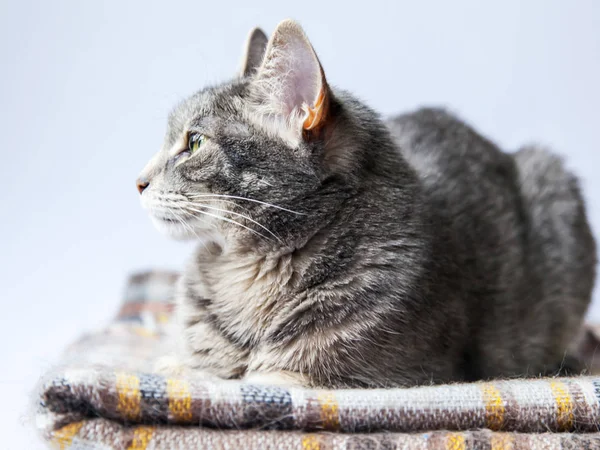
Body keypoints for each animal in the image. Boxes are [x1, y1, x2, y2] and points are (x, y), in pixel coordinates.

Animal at [137, 20, 596, 386]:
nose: (138, 182)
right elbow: (197, 366)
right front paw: (173, 365)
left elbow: (259, 377)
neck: (245, 271)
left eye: (195, 142)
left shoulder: (355, 373)